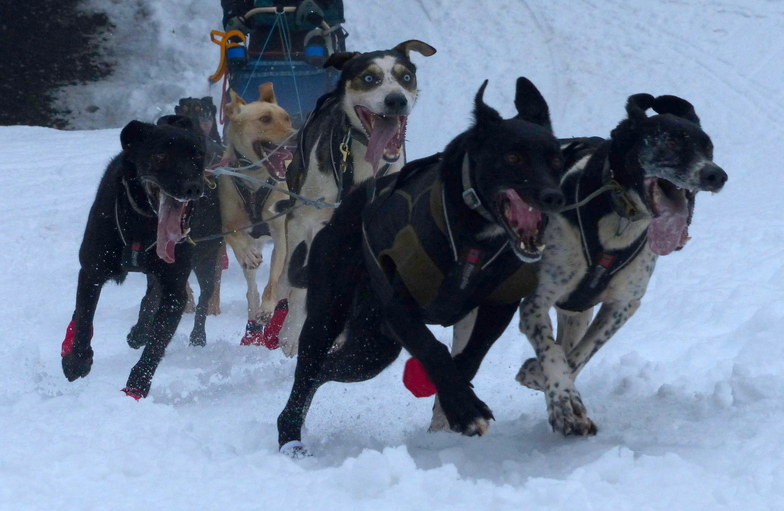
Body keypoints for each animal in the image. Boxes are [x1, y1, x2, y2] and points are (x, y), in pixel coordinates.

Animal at [268, 40, 438, 356]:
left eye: (406, 77)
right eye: (369, 78)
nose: (396, 100)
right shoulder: (304, 221)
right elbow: (299, 287)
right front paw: (291, 335)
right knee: (289, 277)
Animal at [278, 78, 568, 454]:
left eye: (556, 159)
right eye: (513, 157)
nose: (553, 196)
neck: (473, 236)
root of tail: (342, 211)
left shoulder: (499, 306)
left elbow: (469, 358)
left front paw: (456, 402)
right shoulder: (399, 307)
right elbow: (433, 348)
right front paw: (465, 410)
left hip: (372, 348)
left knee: (326, 370)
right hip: (328, 317)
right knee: (306, 376)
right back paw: (290, 439)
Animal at [516, 93, 728, 436]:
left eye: (708, 147)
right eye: (669, 142)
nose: (715, 174)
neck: (620, 220)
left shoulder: (623, 304)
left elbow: (577, 356)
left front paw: (543, 380)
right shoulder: (535, 301)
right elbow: (552, 353)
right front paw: (562, 402)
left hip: (578, 314)